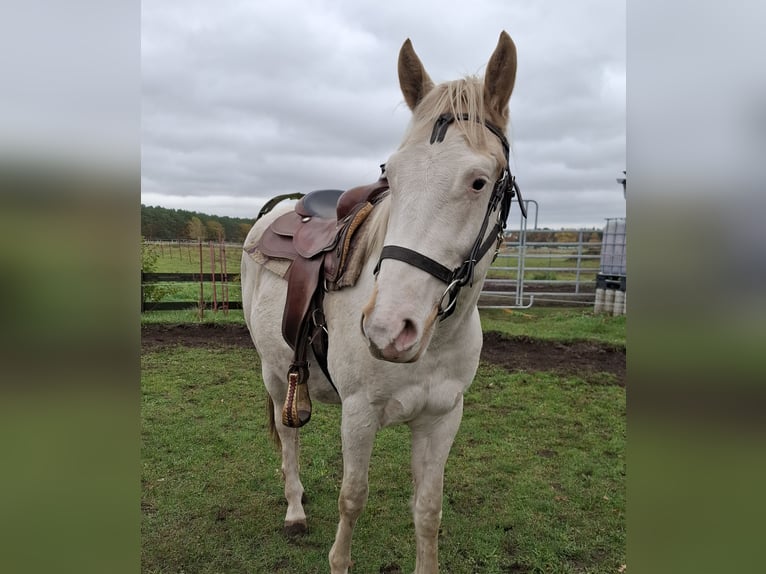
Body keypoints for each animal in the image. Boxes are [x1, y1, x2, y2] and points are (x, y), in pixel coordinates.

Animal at [241, 31, 520, 574]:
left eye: (479, 181)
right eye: (393, 175)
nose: (389, 329)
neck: (436, 340)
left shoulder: (442, 417)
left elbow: (428, 510)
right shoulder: (360, 414)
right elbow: (353, 498)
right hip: (273, 370)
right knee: (288, 435)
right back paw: (294, 509)